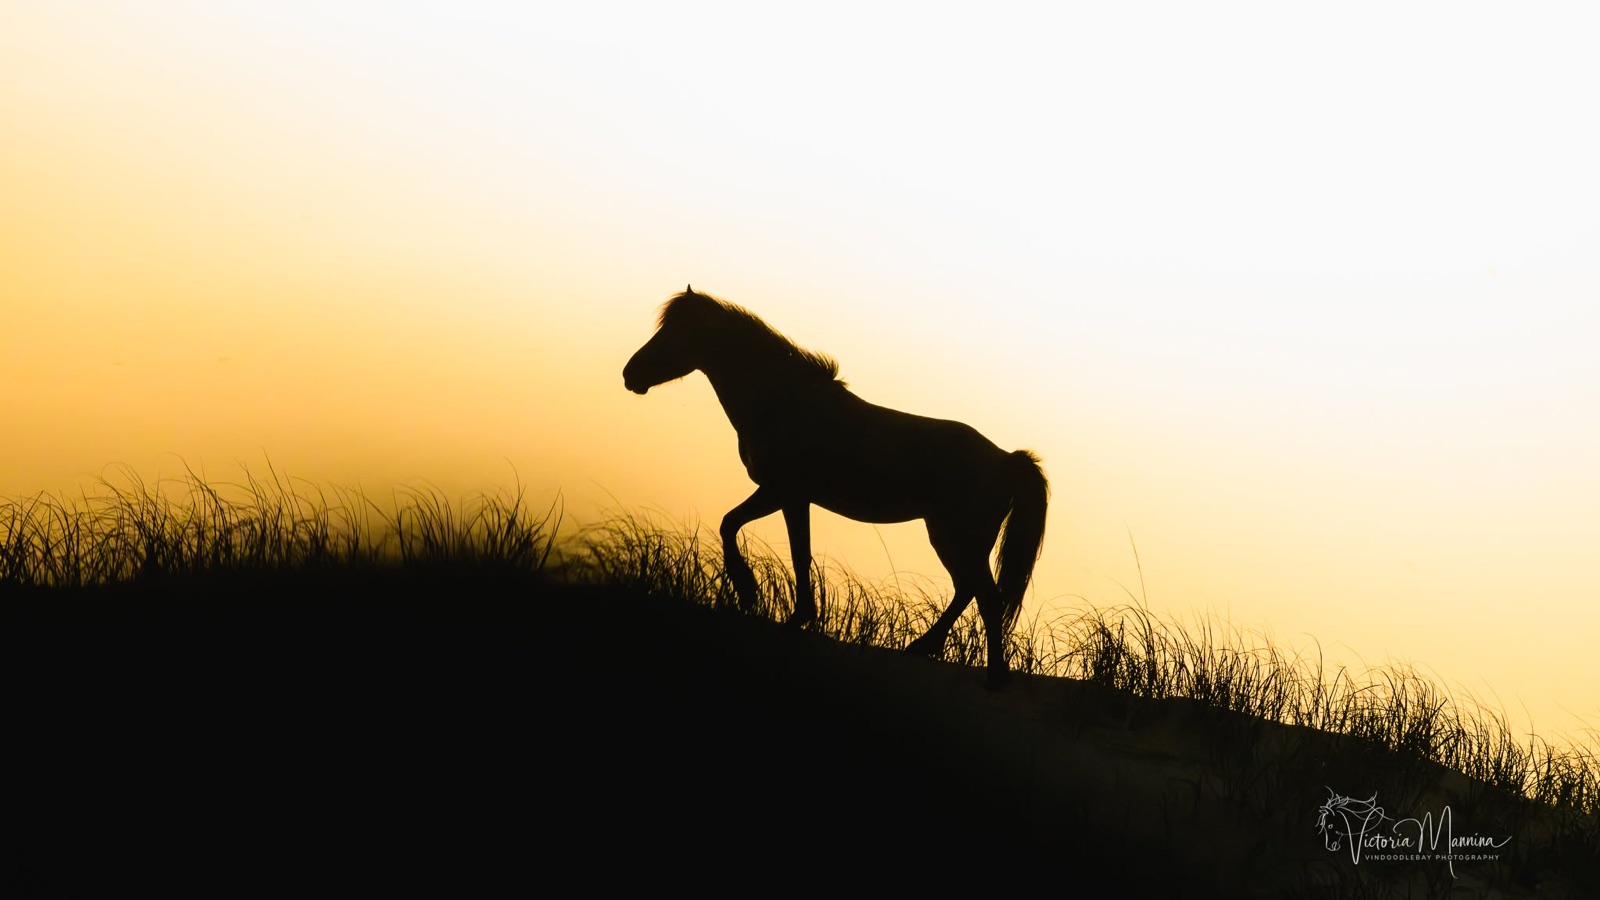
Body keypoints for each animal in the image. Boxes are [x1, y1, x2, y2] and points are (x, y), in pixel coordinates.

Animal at [623, 286, 1048, 689]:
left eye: (675, 333)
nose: (630, 374)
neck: (784, 402)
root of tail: (1006, 459)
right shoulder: (786, 495)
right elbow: (755, 534)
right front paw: (775, 605)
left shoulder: (785, 492)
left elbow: (779, 545)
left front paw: (760, 597)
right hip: (951, 537)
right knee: (967, 591)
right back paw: (924, 648)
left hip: (958, 538)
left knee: (985, 599)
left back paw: (993, 676)